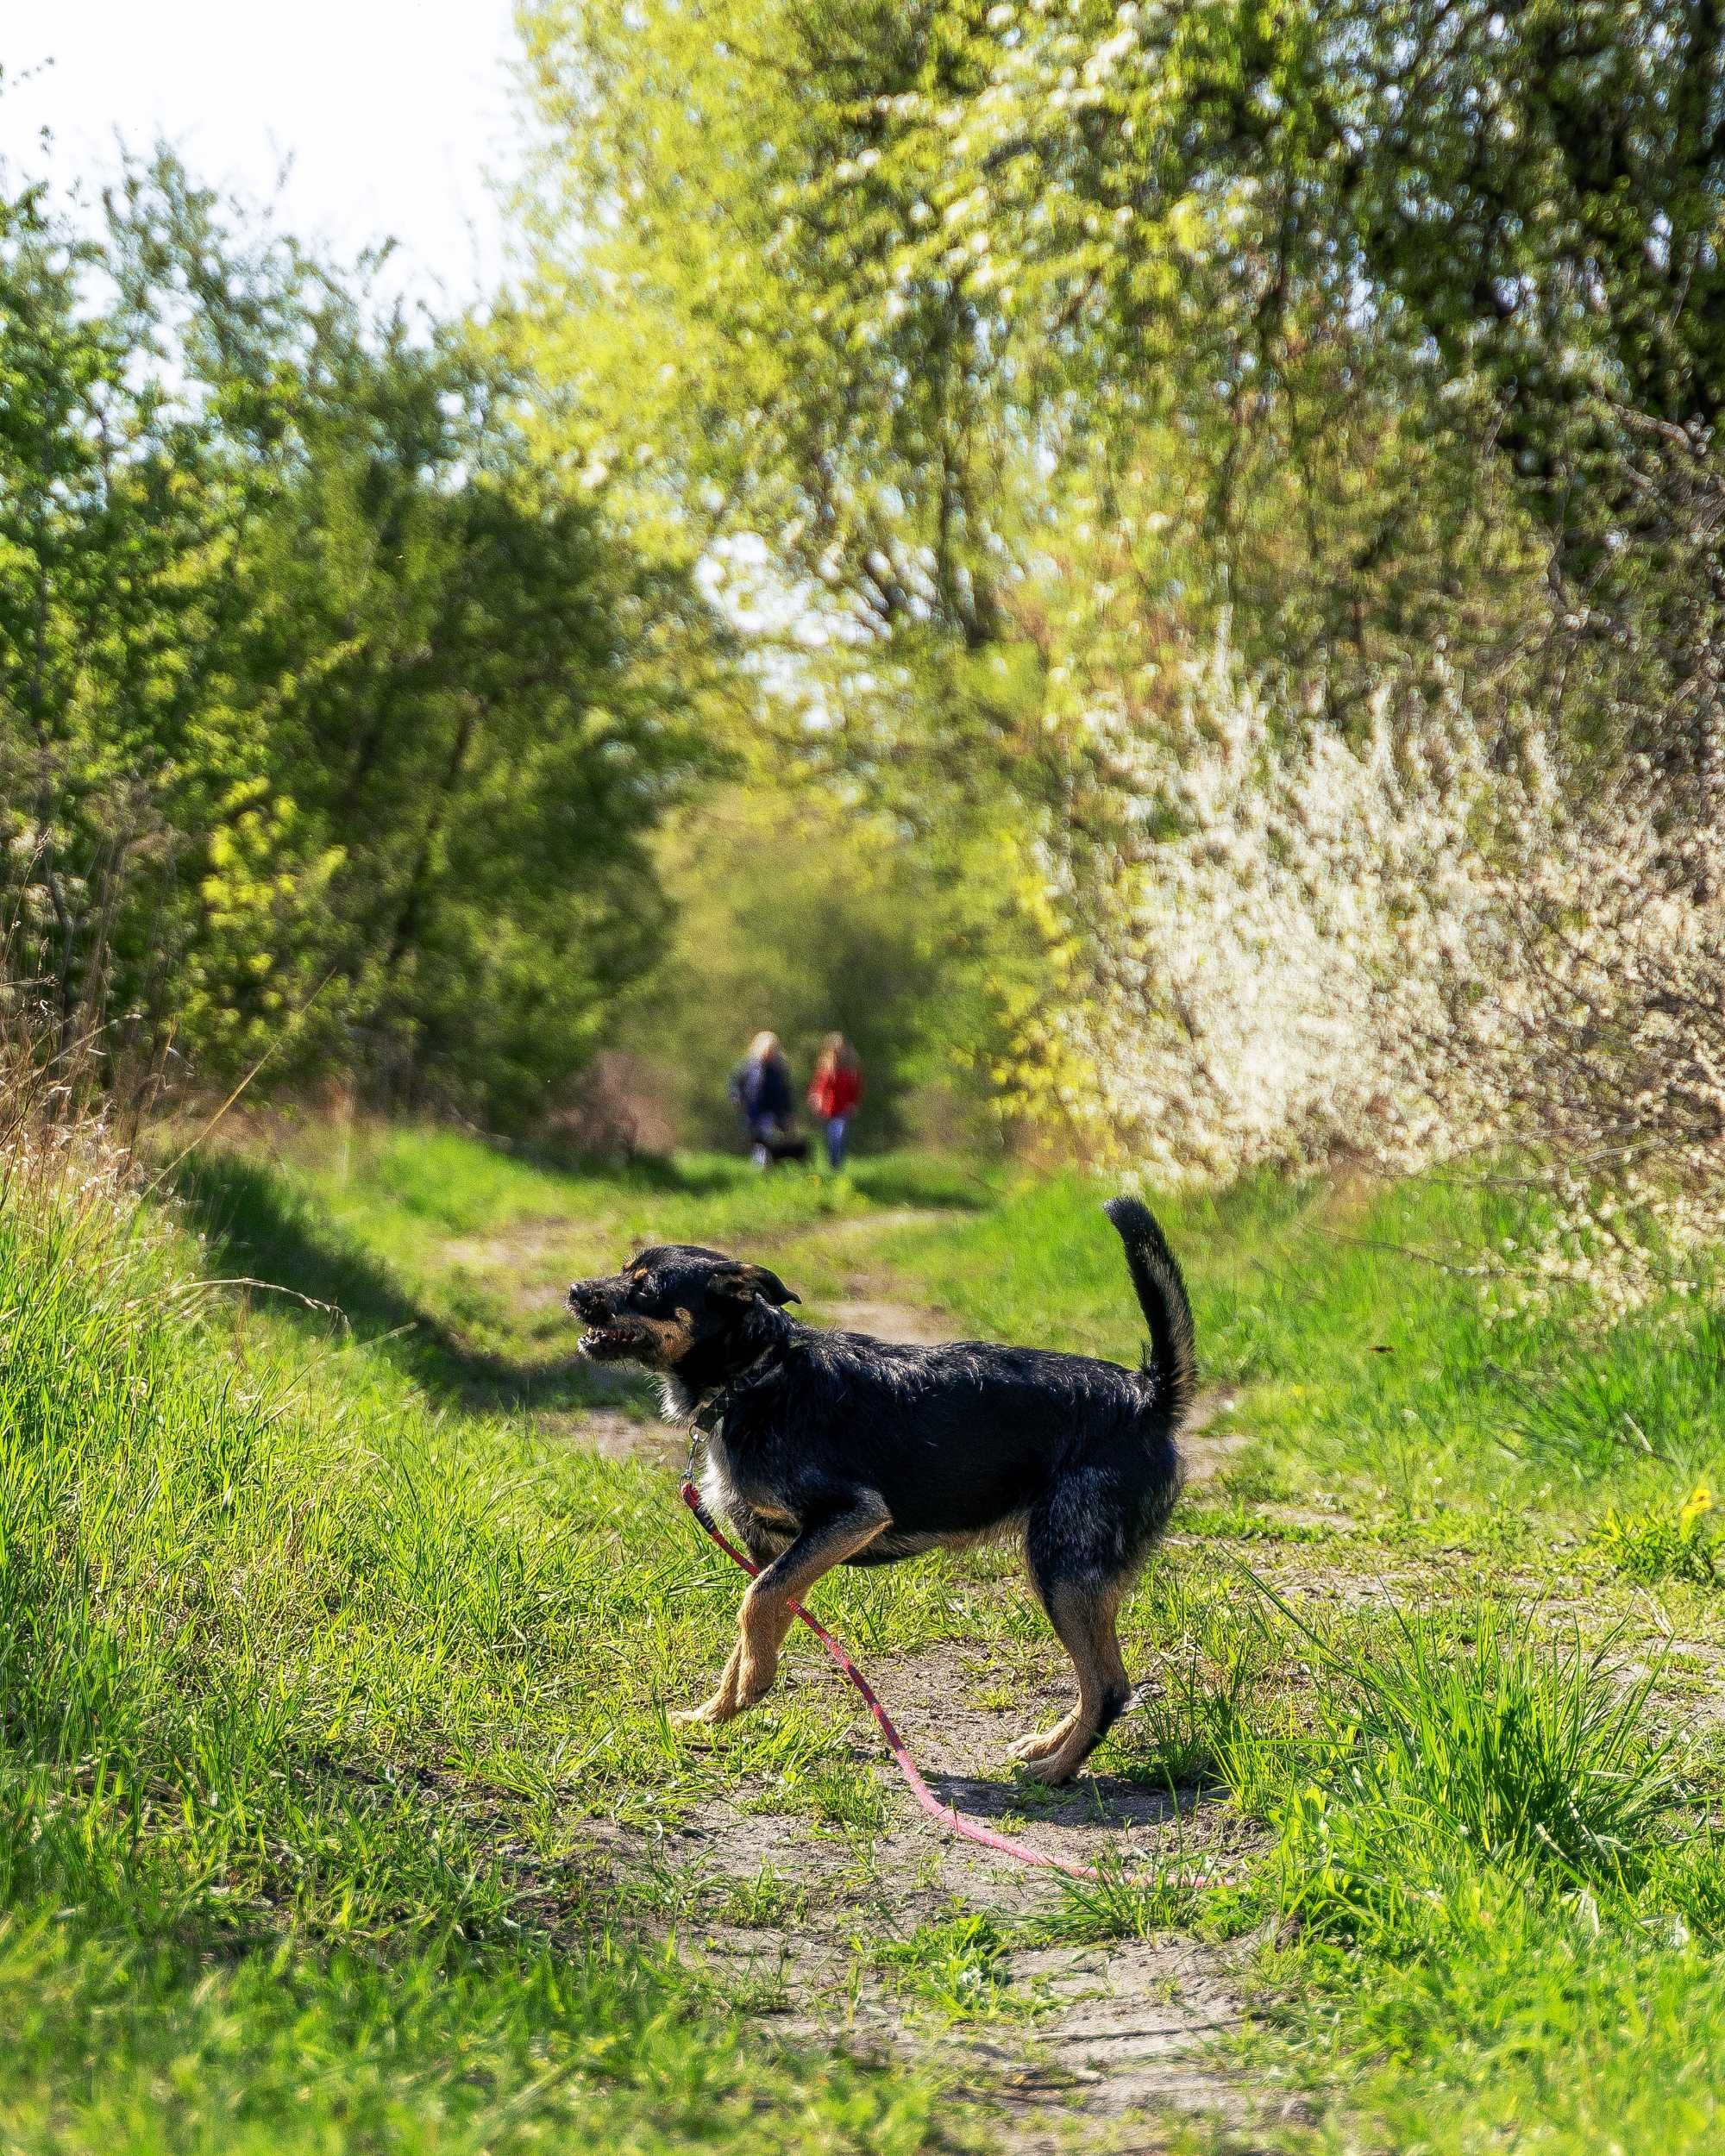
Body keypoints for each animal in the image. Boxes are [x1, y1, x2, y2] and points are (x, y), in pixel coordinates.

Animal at [574, 1199, 1190, 1785]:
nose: (575, 1291)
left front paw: (750, 1687)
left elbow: (756, 1602)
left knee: (1109, 1686)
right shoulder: (774, 1551)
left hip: (1063, 1568)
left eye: (645, 1287)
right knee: (1102, 1681)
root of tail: (1148, 1395)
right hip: (1069, 1574)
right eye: (622, 1271)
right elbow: (755, 1618)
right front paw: (718, 1710)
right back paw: (1048, 1747)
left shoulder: (852, 1515)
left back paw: (1056, 1772)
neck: (756, 1376)